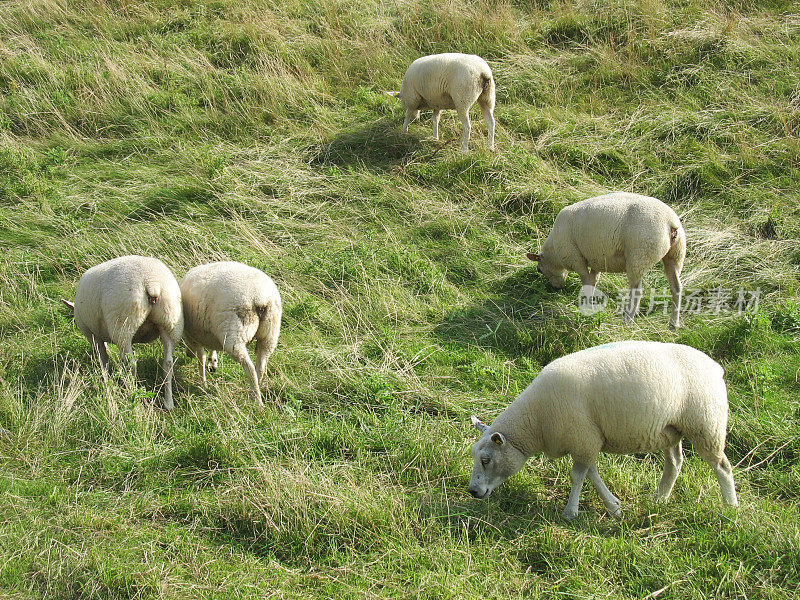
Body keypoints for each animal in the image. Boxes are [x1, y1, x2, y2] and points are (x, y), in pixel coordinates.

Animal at [61, 255, 184, 410]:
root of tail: (152, 283)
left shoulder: (92, 334)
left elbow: (102, 355)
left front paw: (104, 375)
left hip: (123, 323)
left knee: (131, 363)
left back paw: (131, 392)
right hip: (171, 321)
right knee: (168, 363)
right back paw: (168, 403)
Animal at [179, 260, 282, 406]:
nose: (188, 355)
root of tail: (261, 298)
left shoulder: (195, 336)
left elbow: (201, 358)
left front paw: (203, 382)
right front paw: (213, 361)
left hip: (235, 334)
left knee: (249, 367)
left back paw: (257, 401)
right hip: (270, 334)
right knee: (261, 366)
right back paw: (255, 390)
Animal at [468, 342, 736, 520]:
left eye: (486, 460)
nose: (472, 491)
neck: (536, 421)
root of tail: (716, 367)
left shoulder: (583, 438)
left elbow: (578, 476)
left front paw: (570, 512)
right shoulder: (587, 440)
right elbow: (591, 474)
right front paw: (614, 506)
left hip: (706, 424)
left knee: (722, 466)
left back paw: (731, 507)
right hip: (670, 429)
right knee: (674, 463)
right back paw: (659, 499)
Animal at [524, 192, 688, 328]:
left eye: (539, 269)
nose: (556, 289)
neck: (555, 253)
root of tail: (670, 222)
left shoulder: (576, 258)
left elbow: (586, 281)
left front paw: (587, 305)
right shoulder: (596, 259)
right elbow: (593, 280)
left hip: (639, 254)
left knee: (637, 290)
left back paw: (628, 318)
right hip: (675, 255)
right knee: (676, 288)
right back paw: (673, 322)